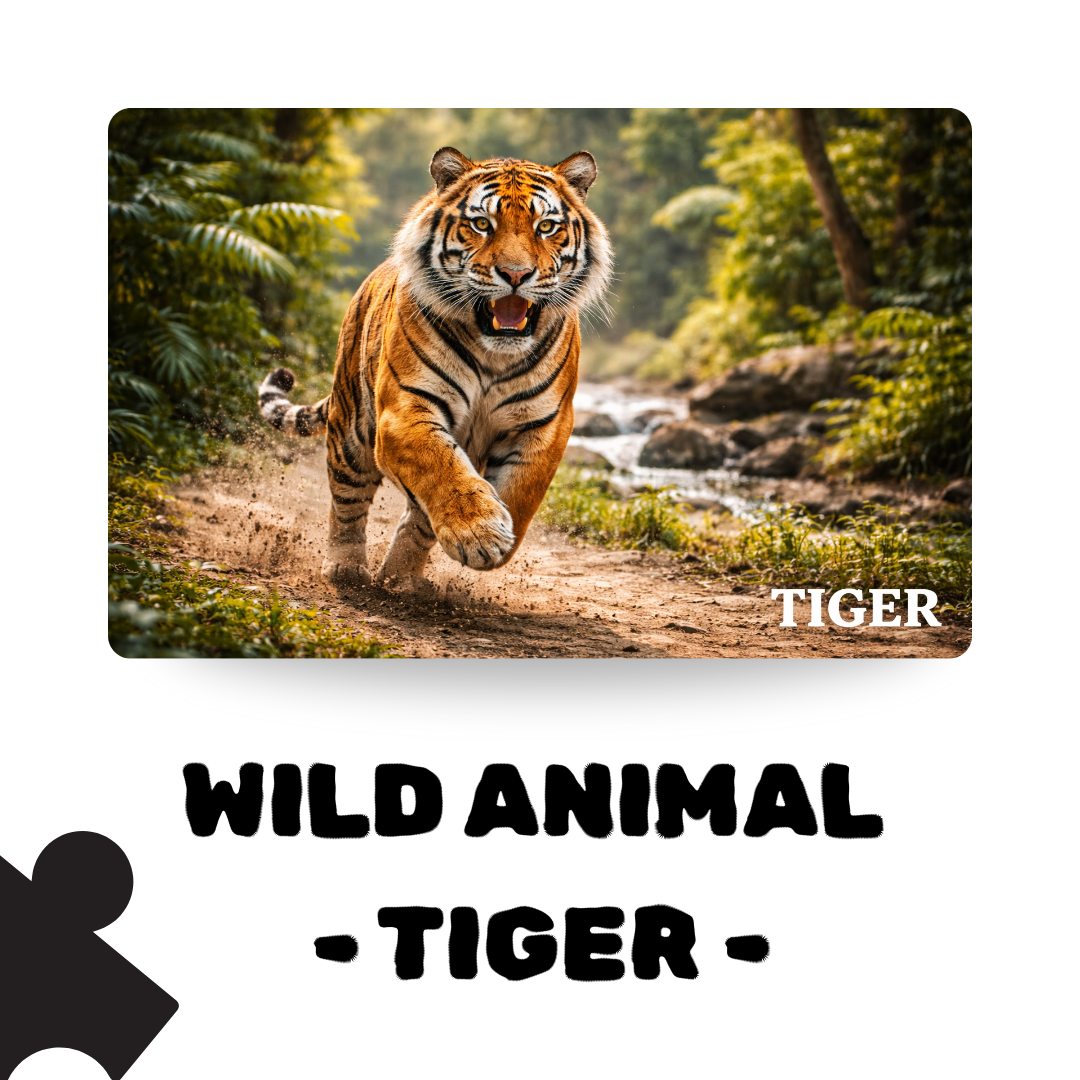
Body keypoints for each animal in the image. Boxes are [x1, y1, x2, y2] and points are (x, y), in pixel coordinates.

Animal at [258, 145, 613, 589]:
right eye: (482, 224)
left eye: (546, 227)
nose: (516, 274)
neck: (495, 353)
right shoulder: (405, 409)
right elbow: (441, 467)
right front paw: (480, 532)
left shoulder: (546, 425)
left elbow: (520, 491)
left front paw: (497, 538)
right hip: (351, 432)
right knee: (347, 502)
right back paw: (347, 568)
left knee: (417, 519)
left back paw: (401, 579)